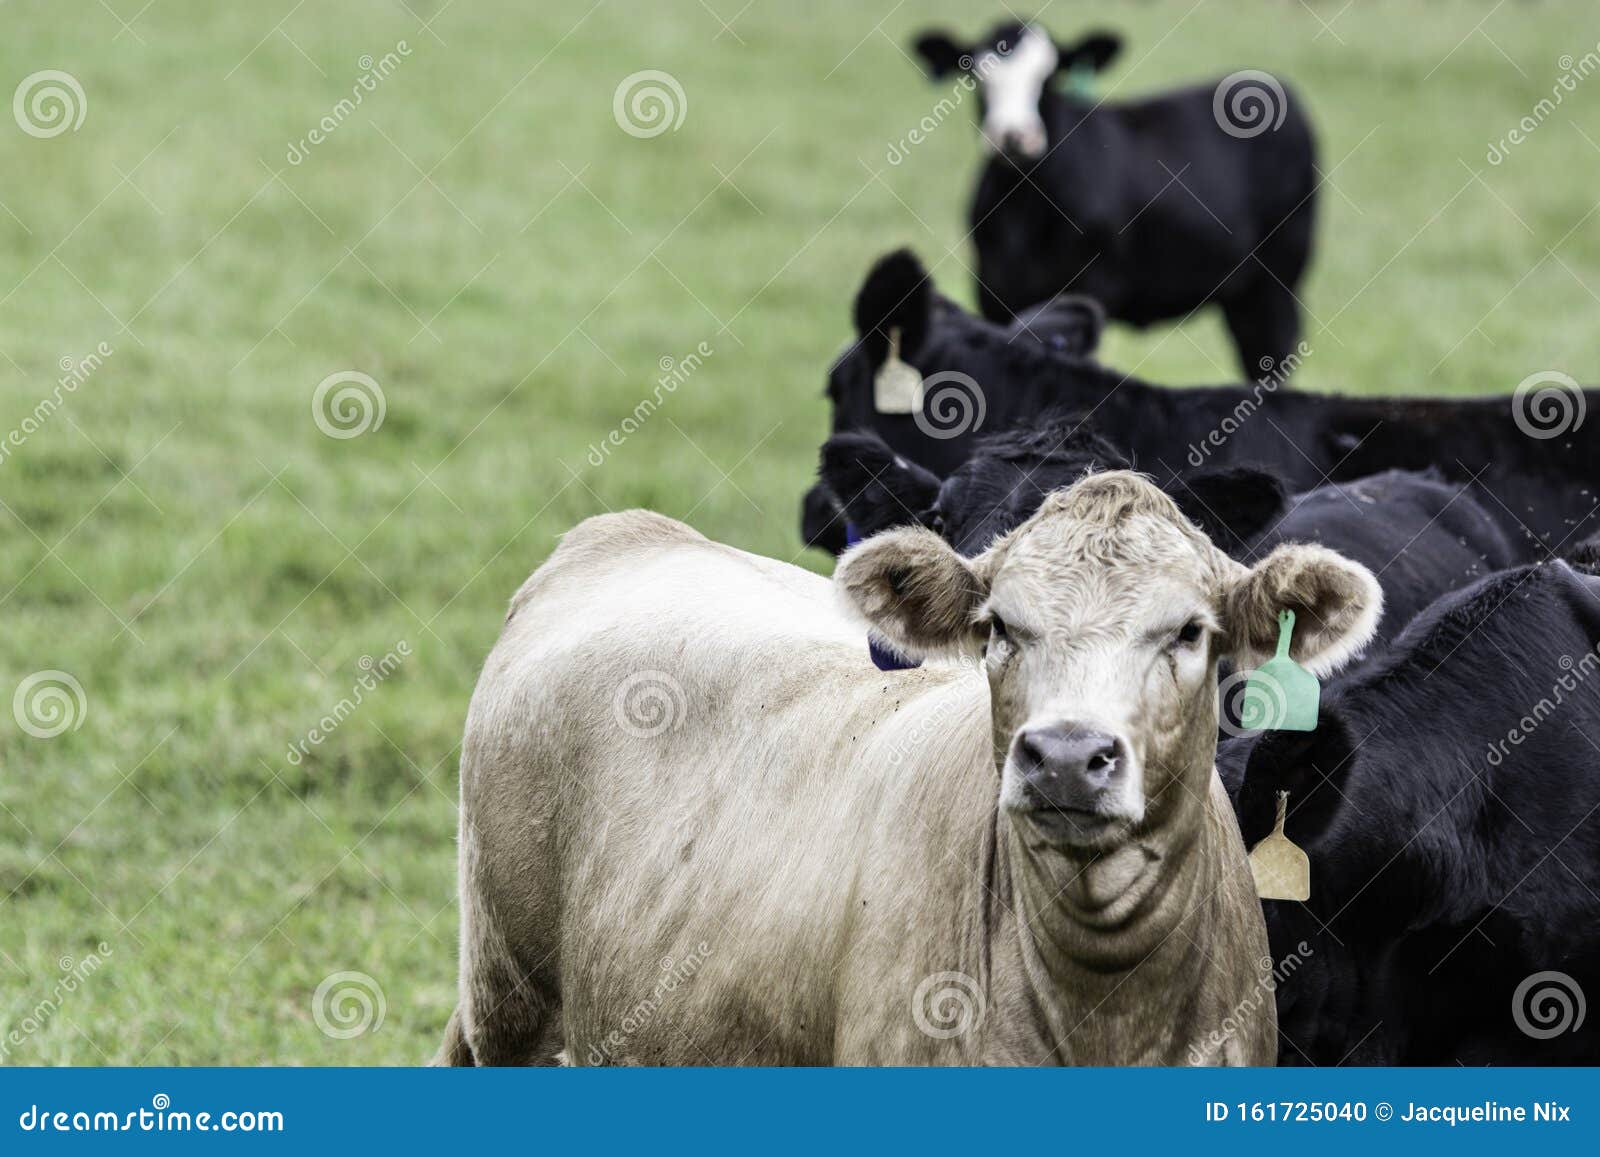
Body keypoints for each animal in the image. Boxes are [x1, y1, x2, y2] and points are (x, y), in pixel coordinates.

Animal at [436, 473, 1384, 1065]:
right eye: (999, 627)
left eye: (1189, 631)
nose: (1066, 756)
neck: (1106, 1008)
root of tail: (626, 534)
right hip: (512, 999)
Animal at [910, 21, 1317, 377]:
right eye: (978, 78)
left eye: (1049, 78)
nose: (1014, 136)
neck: (1024, 208)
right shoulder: (992, 290)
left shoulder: (1093, 285)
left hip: (1276, 286)